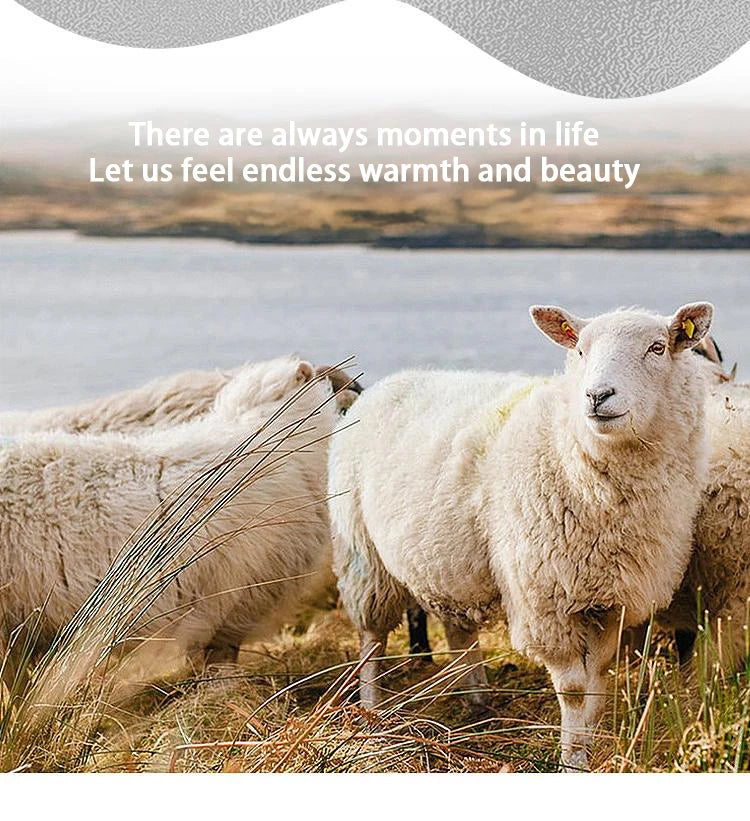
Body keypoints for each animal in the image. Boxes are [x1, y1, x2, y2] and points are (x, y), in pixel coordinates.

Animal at [329, 303, 714, 771]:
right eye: (580, 350)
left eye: (657, 348)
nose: (597, 396)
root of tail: (382, 387)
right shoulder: (547, 600)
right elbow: (574, 690)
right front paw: (572, 759)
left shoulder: (609, 599)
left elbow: (599, 679)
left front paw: (589, 743)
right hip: (362, 552)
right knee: (371, 638)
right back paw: (371, 712)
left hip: (447, 560)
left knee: (459, 632)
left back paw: (478, 703)